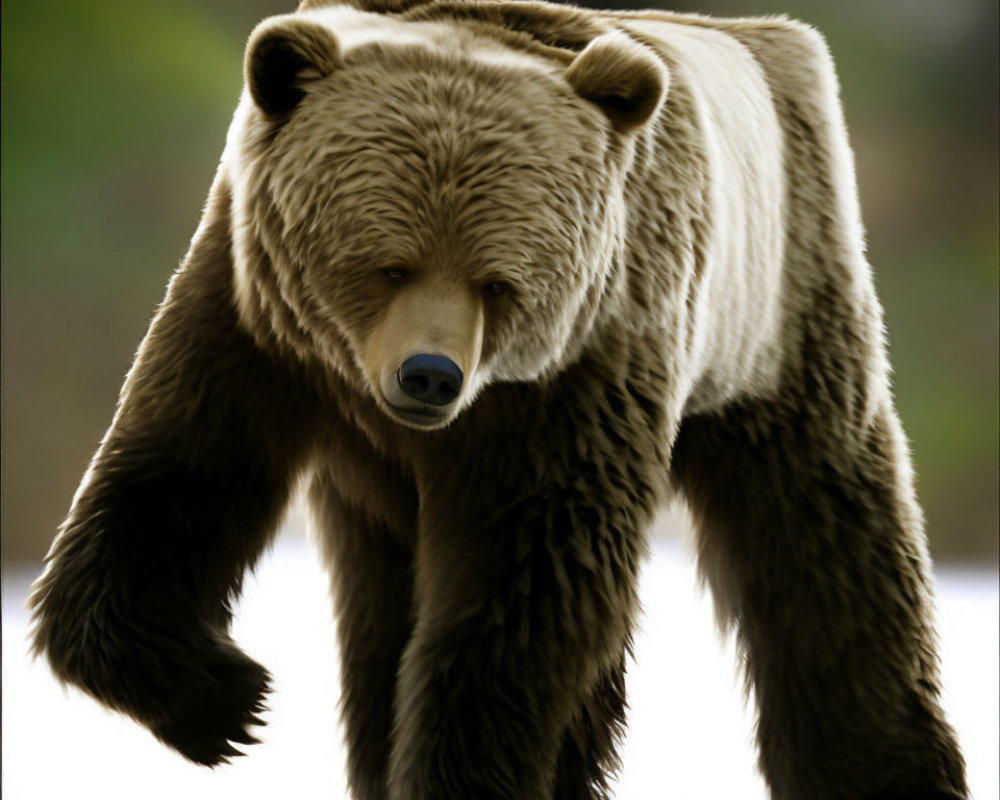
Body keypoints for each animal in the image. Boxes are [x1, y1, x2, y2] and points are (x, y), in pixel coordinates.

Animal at [29, 1, 968, 800]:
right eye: (386, 264)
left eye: (498, 281)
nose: (429, 375)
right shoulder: (257, 327)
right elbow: (172, 483)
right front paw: (229, 702)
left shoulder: (574, 379)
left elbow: (520, 596)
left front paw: (460, 767)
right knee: (381, 611)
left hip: (780, 321)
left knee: (822, 548)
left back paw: (885, 765)